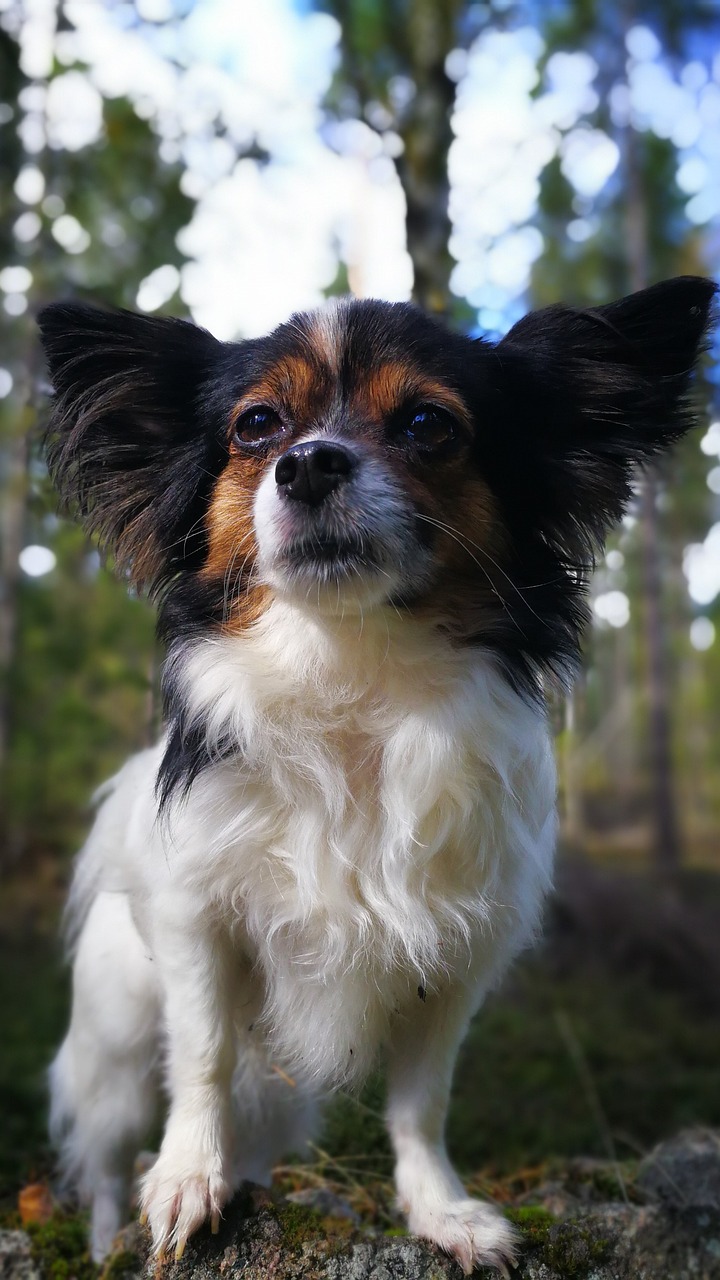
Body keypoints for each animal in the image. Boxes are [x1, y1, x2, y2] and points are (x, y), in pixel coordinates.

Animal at [37, 277, 712, 1269]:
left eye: (428, 423)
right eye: (257, 426)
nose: (309, 465)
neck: (351, 671)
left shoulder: (454, 958)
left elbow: (421, 1104)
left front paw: (442, 1211)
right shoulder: (199, 928)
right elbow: (202, 1058)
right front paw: (188, 1179)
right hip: (115, 1049)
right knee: (110, 1157)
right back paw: (108, 1235)